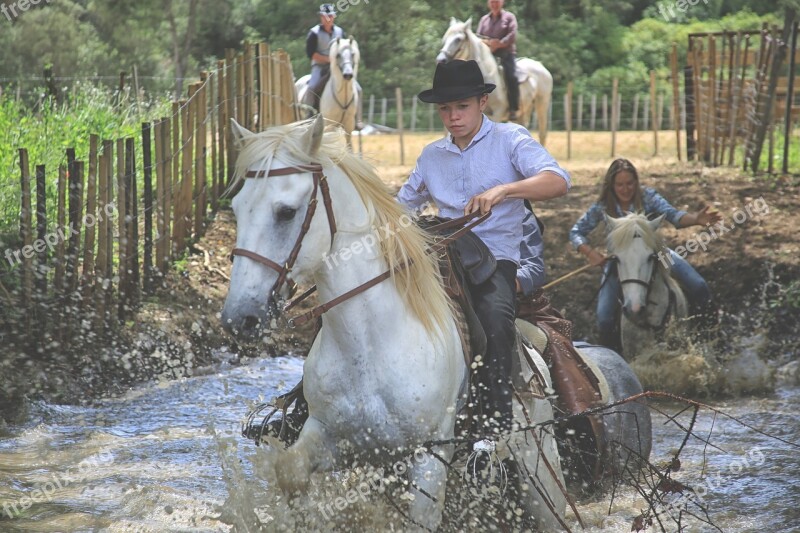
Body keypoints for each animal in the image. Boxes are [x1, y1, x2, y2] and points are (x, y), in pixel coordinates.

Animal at [219, 115, 648, 528]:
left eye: (286, 211)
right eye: (237, 208)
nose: (239, 317)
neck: (371, 342)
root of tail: (536, 365)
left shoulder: (428, 456)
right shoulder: (332, 437)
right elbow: (291, 472)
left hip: (538, 471)